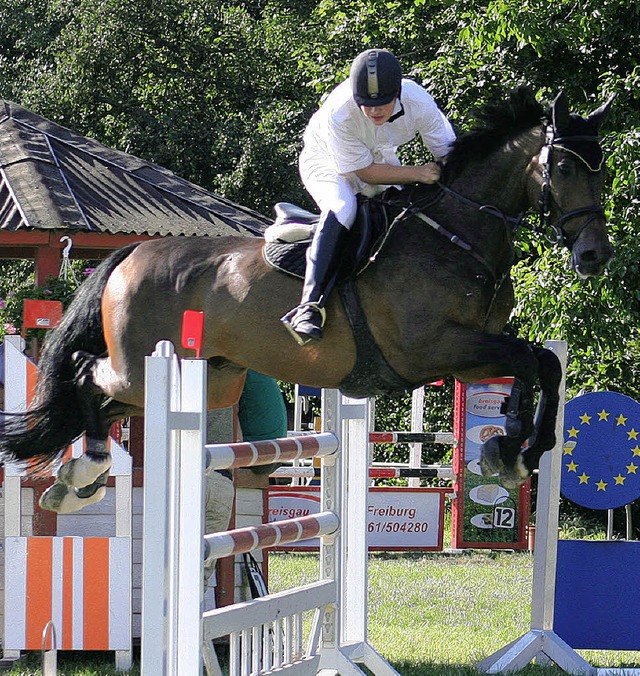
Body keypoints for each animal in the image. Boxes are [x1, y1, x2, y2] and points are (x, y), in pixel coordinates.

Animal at [0, 88, 616, 512]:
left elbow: (543, 362)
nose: (594, 256)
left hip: (207, 376)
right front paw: (512, 447)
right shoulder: (433, 350)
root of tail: (131, 253)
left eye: (603, 169)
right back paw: (87, 470)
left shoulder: (468, 354)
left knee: (103, 401)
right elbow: (528, 361)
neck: (455, 234)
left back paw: (78, 481)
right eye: (563, 167)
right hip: (139, 367)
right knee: (87, 373)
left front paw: (521, 449)